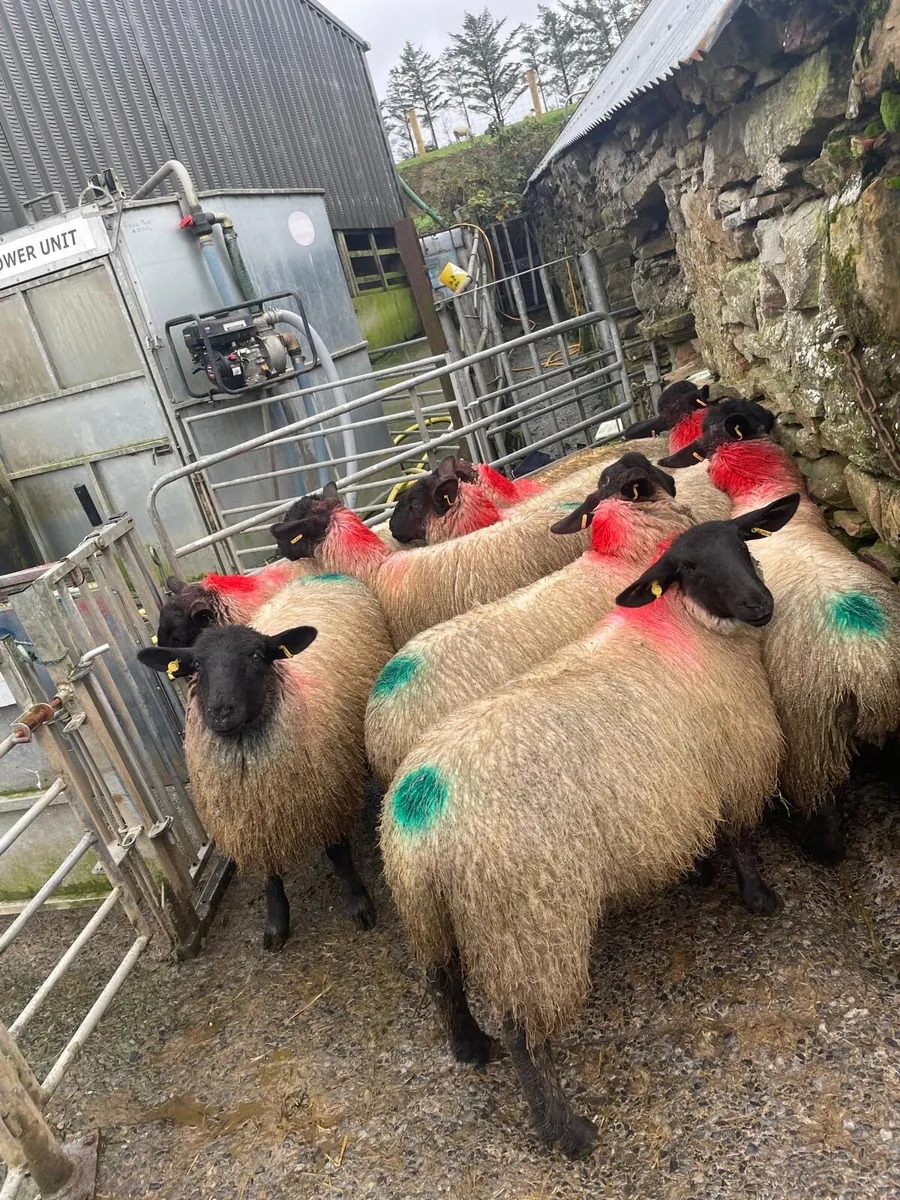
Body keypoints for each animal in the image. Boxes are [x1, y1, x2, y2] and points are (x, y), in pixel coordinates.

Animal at [139, 574, 394, 950]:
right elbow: (269, 874)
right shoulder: (252, 819)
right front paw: (276, 925)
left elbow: (338, 854)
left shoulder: (327, 794)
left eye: (258, 656)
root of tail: (323, 575)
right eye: (197, 665)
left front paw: (359, 902)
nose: (221, 711)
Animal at [380, 495, 798, 1157]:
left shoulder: (681, 789)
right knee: (526, 1033)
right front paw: (758, 897)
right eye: (690, 569)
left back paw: (471, 1049)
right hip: (529, 924)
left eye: (744, 542)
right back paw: (564, 1129)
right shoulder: (730, 767)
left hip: (429, 913)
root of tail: (420, 813)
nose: (760, 603)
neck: (688, 627)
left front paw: (700, 873)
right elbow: (738, 838)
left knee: (443, 982)